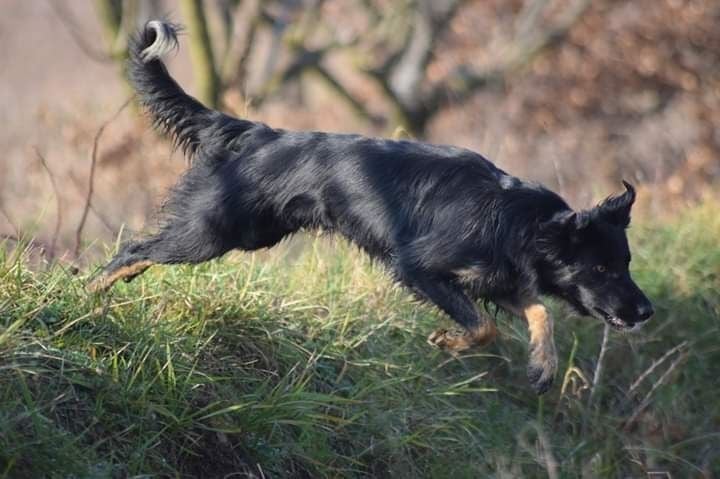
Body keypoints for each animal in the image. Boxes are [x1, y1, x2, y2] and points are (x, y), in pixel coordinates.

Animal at [88, 19, 652, 394]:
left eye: (625, 263)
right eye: (602, 268)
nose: (647, 311)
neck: (521, 222)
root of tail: (256, 132)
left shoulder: (496, 280)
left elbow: (539, 312)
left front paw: (542, 366)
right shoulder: (418, 267)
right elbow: (484, 326)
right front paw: (448, 341)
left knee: (141, 253)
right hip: (214, 232)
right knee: (133, 250)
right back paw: (88, 293)